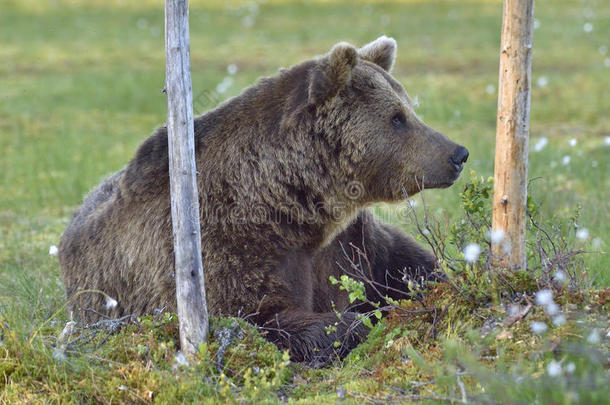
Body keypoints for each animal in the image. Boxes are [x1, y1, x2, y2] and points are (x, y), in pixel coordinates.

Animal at [59, 38, 466, 364]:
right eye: (397, 118)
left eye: (408, 108)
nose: (457, 153)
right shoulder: (227, 246)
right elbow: (261, 317)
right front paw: (357, 323)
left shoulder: (348, 241)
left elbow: (409, 266)